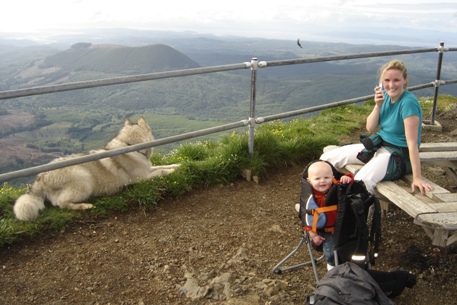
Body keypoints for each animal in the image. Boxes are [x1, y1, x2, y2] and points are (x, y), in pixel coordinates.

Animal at [14, 115, 179, 220]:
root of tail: (40, 177)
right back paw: (84, 206)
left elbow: (162, 165)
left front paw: (178, 164)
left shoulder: (147, 169)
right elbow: (161, 170)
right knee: (61, 204)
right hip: (84, 180)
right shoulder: (142, 179)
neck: (130, 145)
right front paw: (171, 171)